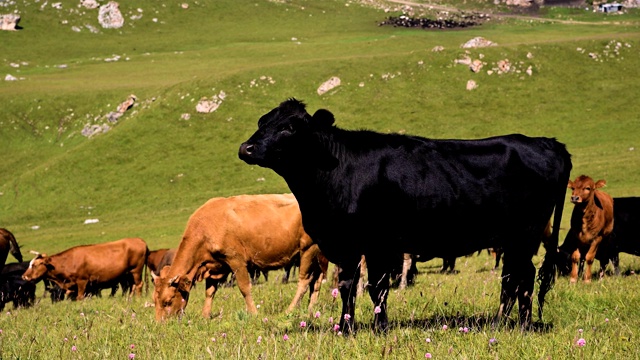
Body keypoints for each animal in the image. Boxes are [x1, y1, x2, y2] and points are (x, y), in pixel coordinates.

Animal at [21, 238, 149, 300]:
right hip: (127, 274)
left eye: (34, 265)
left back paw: (137, 298)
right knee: (131, 286)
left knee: (138, 284)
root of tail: (139, 240)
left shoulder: (82, 281)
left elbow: (80, 297)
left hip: (136, 270)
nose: (24, 276)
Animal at [152, 194, 328, 320]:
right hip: (317, 257)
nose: (160, 324)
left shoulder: (236, 260)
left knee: (304, 280)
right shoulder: (216, 266)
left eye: (168, 301)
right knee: (316, 282)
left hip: (307, 249)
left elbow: (244, 288)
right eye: (154, 300)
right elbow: (210, 291)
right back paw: (311, 309)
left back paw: (289, 310)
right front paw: (205, 316)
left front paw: (253, 313)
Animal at [239, 97, 568, 332]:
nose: (246, 148)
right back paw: (502, 322)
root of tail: (545, 141)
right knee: (512, 278)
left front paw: (363, 328)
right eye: (262, 122)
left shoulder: (368, 244)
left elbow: (366, 287)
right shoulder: (355, 245)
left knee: (523, 277)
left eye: (288, 128)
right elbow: (359, 288)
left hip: (525, 234)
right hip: (514, 239)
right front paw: (361, 327)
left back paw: (520, 325)